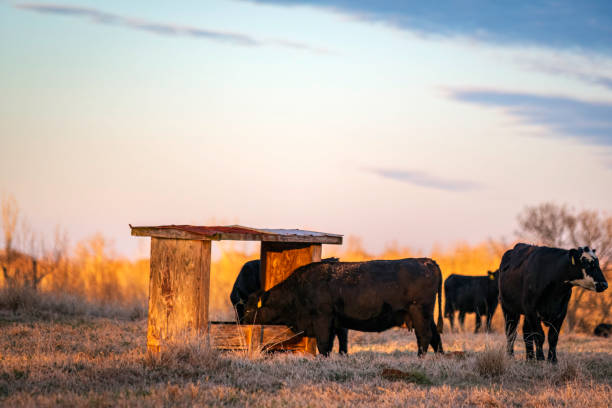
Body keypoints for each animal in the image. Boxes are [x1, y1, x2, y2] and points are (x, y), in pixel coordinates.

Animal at [241, 258, 442, 356]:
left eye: (252, 308)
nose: (244, 320)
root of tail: (426, 261)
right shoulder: (334, 323)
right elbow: (332, 344)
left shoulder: (323, 318)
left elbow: (323, 344)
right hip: (426, 315)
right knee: (435, 337)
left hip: (420, 312)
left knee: (424, 337)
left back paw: (420, 358)